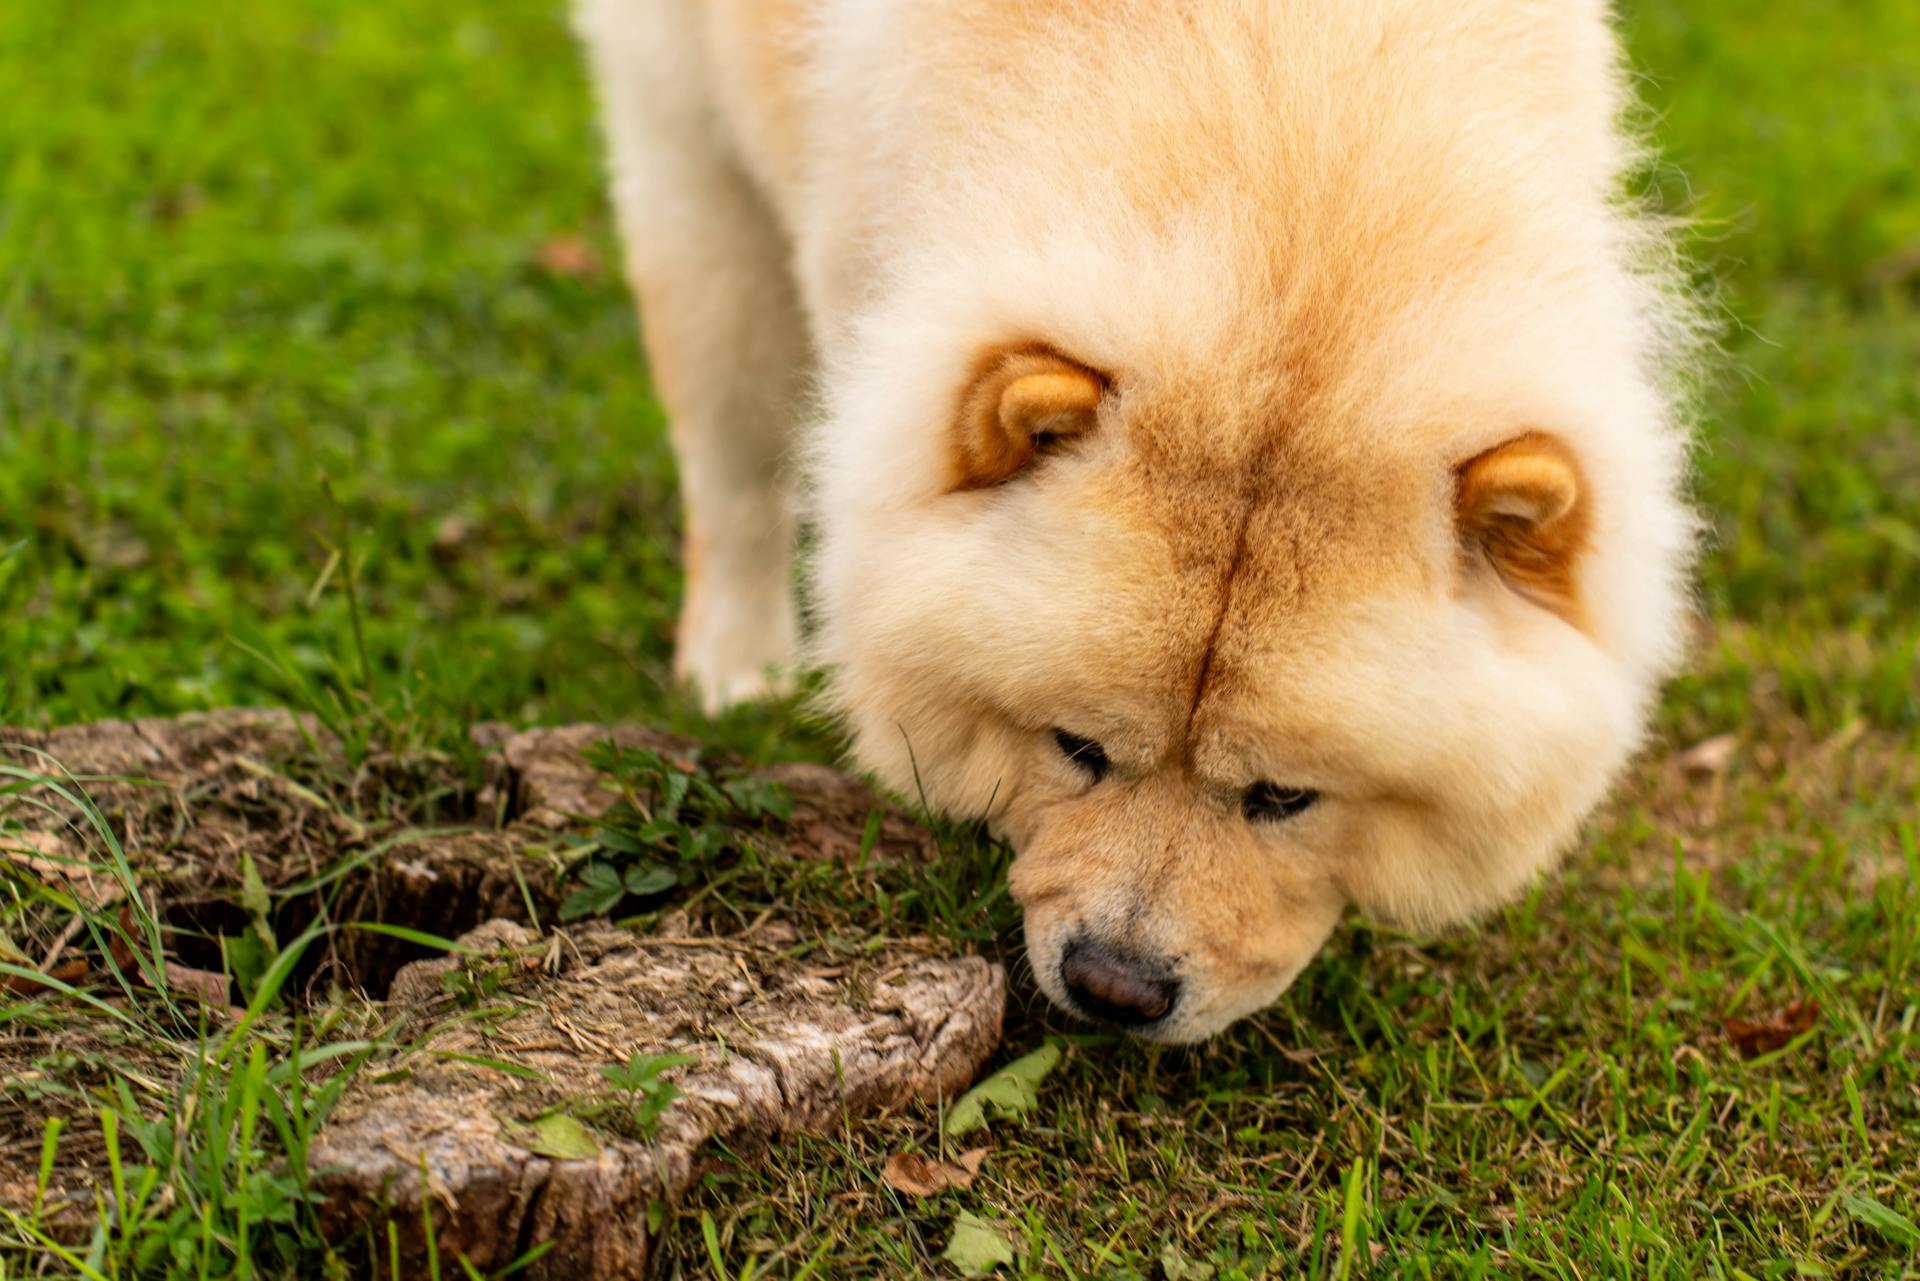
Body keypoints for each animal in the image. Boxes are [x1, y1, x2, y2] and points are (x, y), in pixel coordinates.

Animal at [572, 0, 1697, 1044]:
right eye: (1076, 746)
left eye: (1283, 796)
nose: (1116, 987)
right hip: (694, 170)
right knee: (735, 463)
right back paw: (736, 668)